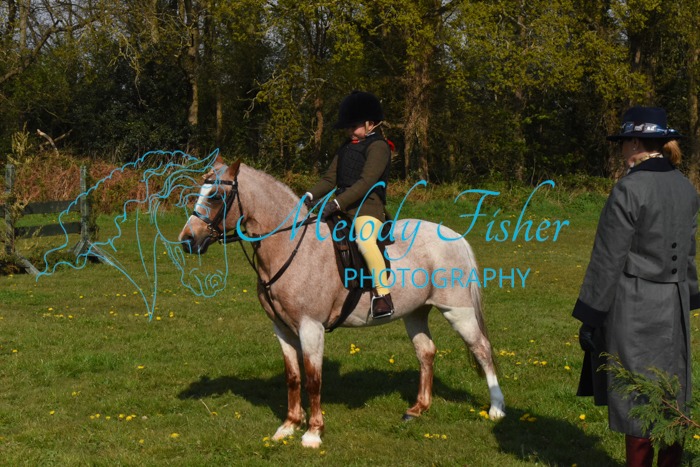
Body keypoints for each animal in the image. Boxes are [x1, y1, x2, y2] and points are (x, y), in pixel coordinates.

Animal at [177, 155, 505, 448]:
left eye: (216, 195)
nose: (187, 240)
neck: (290, 247)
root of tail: (454, 236)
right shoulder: (282, 329)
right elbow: (293, 377)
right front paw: (288, 426)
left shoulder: (310, 327)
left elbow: (313, 378)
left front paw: (312, 433)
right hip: (415, 312)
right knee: (426, 353)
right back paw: (418, 409)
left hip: (458, 311)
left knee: (482, 349)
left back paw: (496, 409)